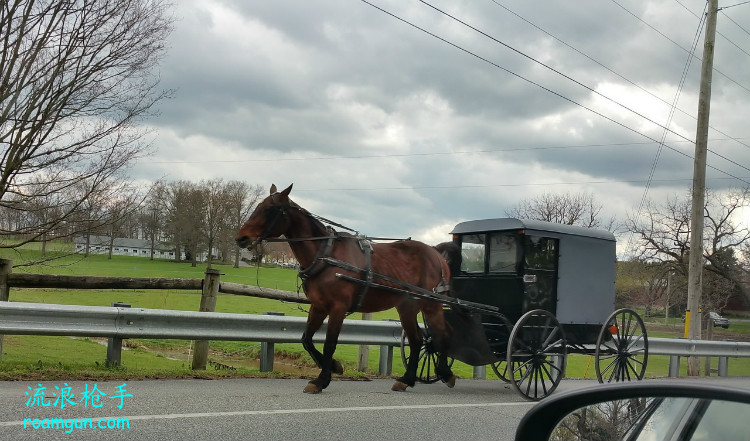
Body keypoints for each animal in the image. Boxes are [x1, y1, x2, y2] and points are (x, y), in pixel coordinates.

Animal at [236, 182, 458, 392]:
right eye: (258, 206)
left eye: (270, 209)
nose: (241, 238)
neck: (326, 254)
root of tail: (436, 253)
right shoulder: (319, 306)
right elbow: (306, 339)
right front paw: (334, 366)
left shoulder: (338, 308)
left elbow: (329, 344)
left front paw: (322, 379)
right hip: (407, 306)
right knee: (417, 340)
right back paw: (407, 379)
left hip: (430, 304)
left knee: (442, 334)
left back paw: (445, 373)